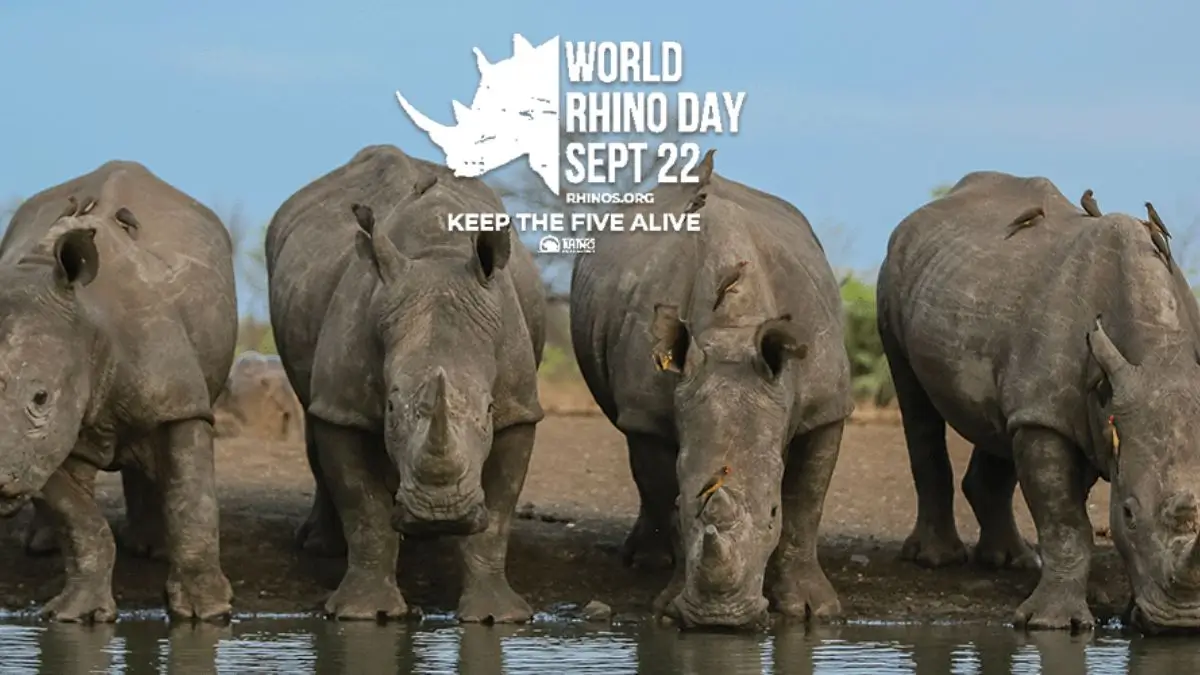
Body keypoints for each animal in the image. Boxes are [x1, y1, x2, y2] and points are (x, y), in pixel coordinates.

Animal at [0, 161, 237, 622]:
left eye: (40, 398)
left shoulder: (180, 401)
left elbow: (193, 500)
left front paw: (207, 614)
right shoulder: (44, 442)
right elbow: (78, 520)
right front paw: (76, 615)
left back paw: (150, 550)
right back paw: (45, 546)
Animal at [265, 144, 545, 622]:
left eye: (489, 410)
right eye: (391, 409)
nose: (441, 512)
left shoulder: (519, 407)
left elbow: (499, 514)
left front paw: (497, 617)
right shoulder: (346, 405)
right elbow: (363, 507)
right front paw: (364, 614)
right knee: (312, 412)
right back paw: (323, 546)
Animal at [570, 154, 854, 628]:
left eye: (772, 515)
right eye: (687, 507)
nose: (721, 620)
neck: (733, 330)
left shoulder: (827, 404)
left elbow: (807, 501)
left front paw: (813, 610)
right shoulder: (648, 411)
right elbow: (662, 489)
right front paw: (668, 605)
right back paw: (645, 563)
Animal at [877, 170, 1200, 634]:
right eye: (1127, 514)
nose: (1183, 623)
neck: (1158, 355)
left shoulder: (1084, 413)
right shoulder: (1048, 418)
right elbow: (1065, 522)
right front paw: (1051, 624)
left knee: (1000, 422)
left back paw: (1011, 561)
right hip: (893, 272)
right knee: (914, 398)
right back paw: (936, 560)